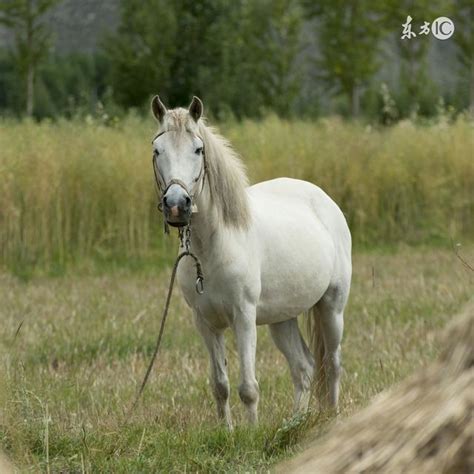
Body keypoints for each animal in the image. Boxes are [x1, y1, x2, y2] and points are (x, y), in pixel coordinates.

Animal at [152, 94, 352, 428]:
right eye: (157, 150)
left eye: (198, 150)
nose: (177, 205)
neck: (213, 247)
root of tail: (325, 200)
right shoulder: (205, 323)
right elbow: (220, 385)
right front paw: (228, 432)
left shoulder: (244, 318)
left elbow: (248, 387)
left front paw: (252, 432)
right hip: (282, 319)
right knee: (304, 368)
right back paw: (294, 423)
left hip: (331, 308)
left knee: (332, 364)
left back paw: (333, 419)